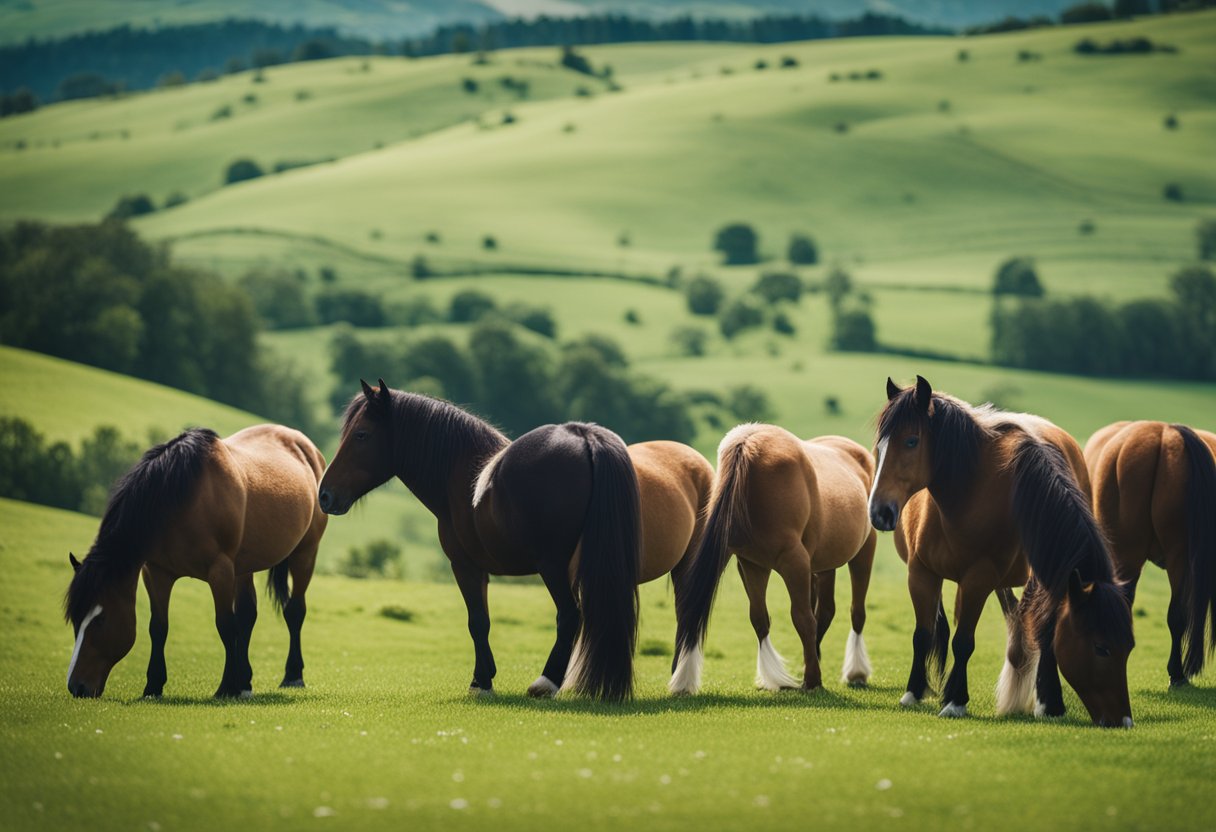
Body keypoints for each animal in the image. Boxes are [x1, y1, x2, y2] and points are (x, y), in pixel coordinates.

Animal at [63, 425, 325, 700]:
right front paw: (153, 686)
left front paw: (226, 687)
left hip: (305, 553)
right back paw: (245, 682)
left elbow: (225, 625)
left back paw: (292, 675)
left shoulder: (220, 572)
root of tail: (300, 441)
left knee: (294, 611)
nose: (77, 687)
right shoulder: (156, 572)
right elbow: (158, 627)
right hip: (245, 566)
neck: (183, 500)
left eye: (100, 620)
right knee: (247, 615)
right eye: (75, 619)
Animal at [318, 381, 710, 700]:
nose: (325, 495)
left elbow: (478, 621)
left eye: (362, 435)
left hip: (553, 567)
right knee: (679, 615)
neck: (463, 478)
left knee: (572, 615)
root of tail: (583, 437)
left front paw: (481, 682)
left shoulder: (466, 566)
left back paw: (546, 683)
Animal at [671, 423, 880, 695]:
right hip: (823, 564)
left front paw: (812, 680)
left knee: (856, 613)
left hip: (864, 552)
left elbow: (803, 619)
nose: (681, 684)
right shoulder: (752, 565)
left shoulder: (795, 563)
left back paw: (855, 671)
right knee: (826, 611)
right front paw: (776, 677)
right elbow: (760, 618)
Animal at [870, 377, 1133, 729]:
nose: (1123, 720)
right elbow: (924, 635)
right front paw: (916, 693)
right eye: (1101, 648)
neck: (968, 492)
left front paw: (956, 700)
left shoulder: (982, 578)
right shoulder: (922, 574)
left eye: (911, 441)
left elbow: (966, 641)